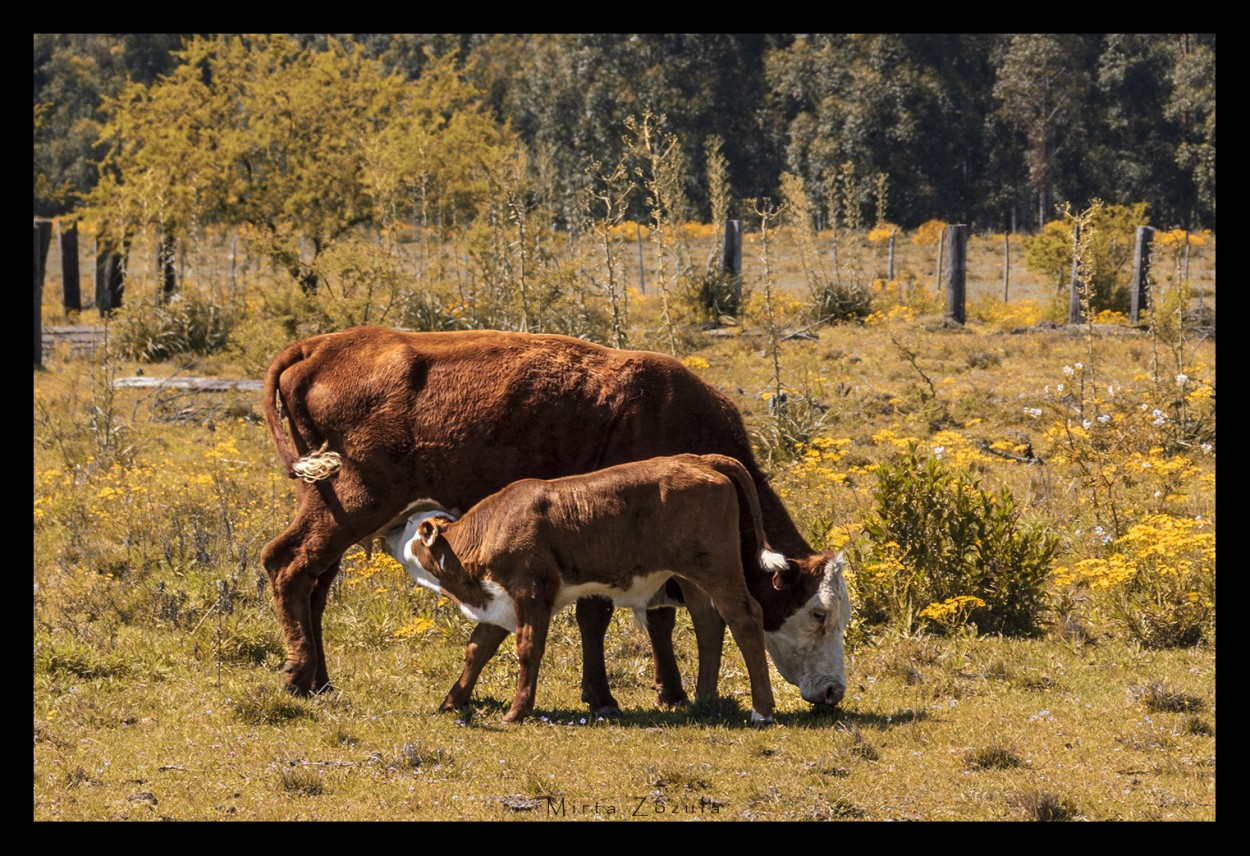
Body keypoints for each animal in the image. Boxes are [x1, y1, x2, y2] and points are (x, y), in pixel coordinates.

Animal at [385, 454, 785, 719]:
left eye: (412, 527)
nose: (389, 530)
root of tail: (697, 458)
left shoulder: (531, 591)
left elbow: (528, 647)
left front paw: (517, 711)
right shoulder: (500, 600)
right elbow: (477, 648)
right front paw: (452, 701)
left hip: (718, 567)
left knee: (744, 618)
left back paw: (762, 710)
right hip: (691, 573)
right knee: (709, 623)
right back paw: (703, 699)